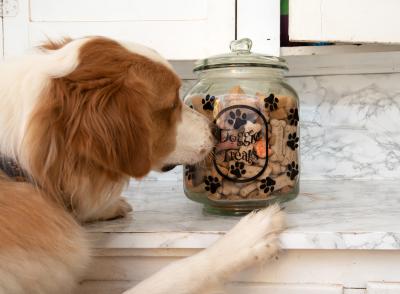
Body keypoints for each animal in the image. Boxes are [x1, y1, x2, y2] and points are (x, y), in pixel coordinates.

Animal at [0, 37, 284, 294]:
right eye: (170, 105)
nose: (217, 130)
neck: (17, 165)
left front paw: (109, 205)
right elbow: (177, 270)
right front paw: (246, 238)